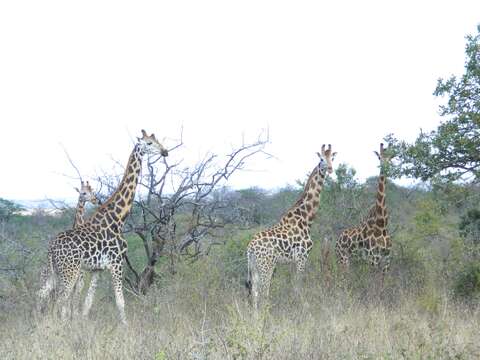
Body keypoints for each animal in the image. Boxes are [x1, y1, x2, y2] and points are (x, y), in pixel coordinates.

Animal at [38, 131, 168, 324]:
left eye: (157, 140)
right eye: (149, 143)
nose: (165, 151)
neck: (118, 218)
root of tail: (51, 247)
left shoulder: (97, 269)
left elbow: (87, 304)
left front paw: (82, 325)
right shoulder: (117, 263)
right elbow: (120, 301)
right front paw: (125, 326)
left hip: (56, 272)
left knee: (47, 298)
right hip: (69, 271)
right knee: (59, 301)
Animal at [246, 145, 336, 308]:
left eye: (332, 157)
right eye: (321, 159)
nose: (331, 168)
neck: (306, 218)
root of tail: (250, 249)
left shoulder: (292, 261)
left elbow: (293, 285)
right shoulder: (302, 256)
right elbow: (298, 287)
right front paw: (301, 308)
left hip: (255, 268)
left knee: (255, 293)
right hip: (266, 266)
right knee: (263, 293)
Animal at [336, 142, 392, 272]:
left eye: (390, 159)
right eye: (379, 158)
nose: (384, 168)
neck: (382, 224)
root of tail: (337, 240)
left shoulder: (387, 260)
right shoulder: (373, 258)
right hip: (343, 259)